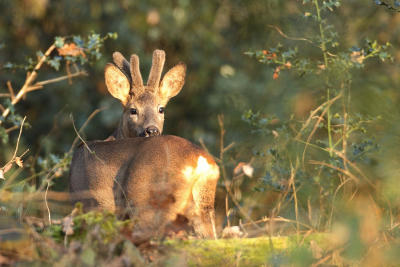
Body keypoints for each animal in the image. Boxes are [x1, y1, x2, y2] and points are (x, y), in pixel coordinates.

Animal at [69, 51, 219, 242]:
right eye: (133, 110)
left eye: (161, 109)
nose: (152, 130)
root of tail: (199, 161)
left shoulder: (94, 203)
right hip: (204, 203)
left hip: (146, 199)